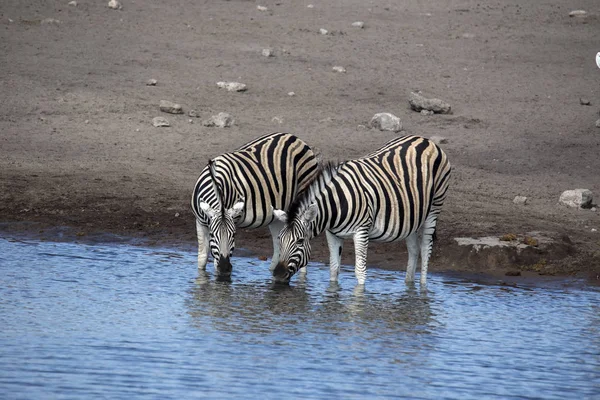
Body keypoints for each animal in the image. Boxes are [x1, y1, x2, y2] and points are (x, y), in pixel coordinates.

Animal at [193, 131, 322, 278]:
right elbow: (202, 258)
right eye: (212, 235)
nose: (225, 268)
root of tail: (295, 137)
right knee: (278, 246)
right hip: (277, 214)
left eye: (234, 235)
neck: (216, 183)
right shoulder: (200, 222)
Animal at [272, 136, 450, 286]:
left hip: (434, 208)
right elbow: (334, 268)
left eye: (300, 241)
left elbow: (360, 271)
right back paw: (409, 285)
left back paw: (423, 288)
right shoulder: (333, 234)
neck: (336, 205)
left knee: (425, 248)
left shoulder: (361, 232)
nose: (278, 275)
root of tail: (425, 140)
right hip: (412, 216)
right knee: (414, 250)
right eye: (280, 239)